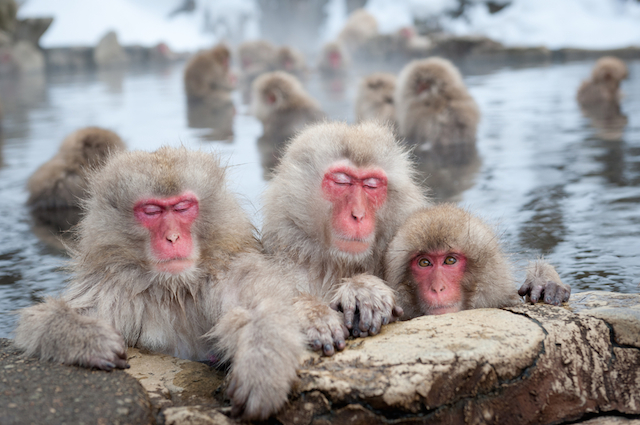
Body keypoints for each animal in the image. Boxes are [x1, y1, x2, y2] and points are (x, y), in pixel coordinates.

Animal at [15, 147, 304, 420]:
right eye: (152, 211)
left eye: (183, 207)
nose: (172, 237)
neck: (174, 288)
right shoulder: (112, 288)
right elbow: (38, 322)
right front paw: (89, 339)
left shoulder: (228, 273)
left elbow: (264, 307)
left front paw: (262, 371)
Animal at [260, 121, 430, 354]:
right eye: (341, 182)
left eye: (371, 185)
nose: (358, 214)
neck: (338, 264)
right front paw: (313, 314)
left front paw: (364, 289)